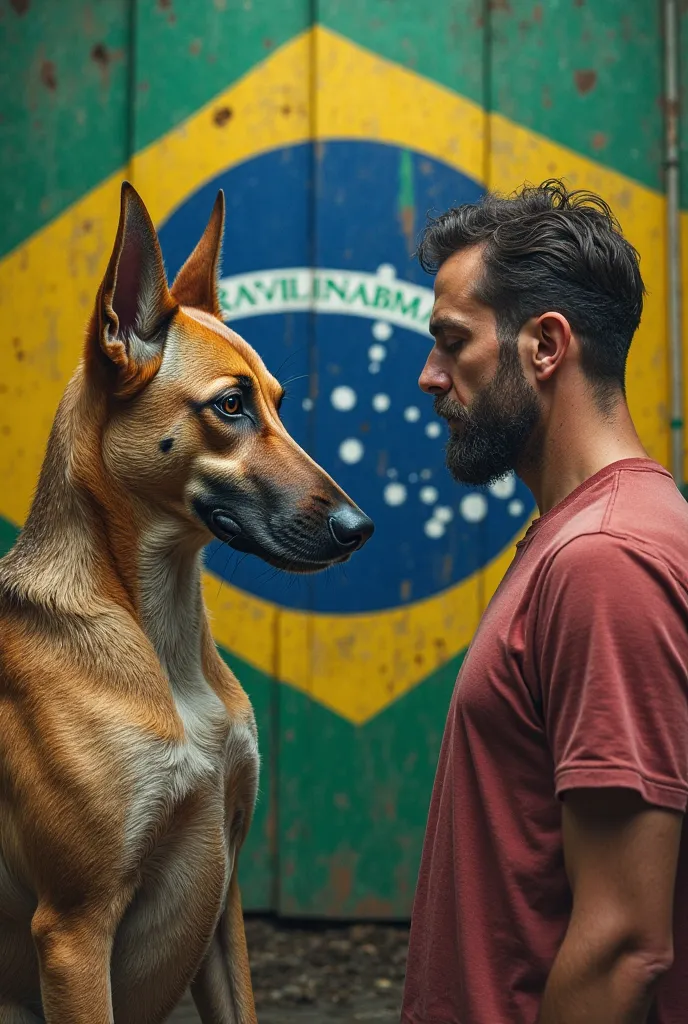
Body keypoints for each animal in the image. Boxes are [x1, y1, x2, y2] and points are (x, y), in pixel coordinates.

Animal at [0, 186, 372, 1024]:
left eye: (277, 402)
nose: (360, 529)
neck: (160, 631)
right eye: (230, 406)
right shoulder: (73, 931)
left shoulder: (225, 899)